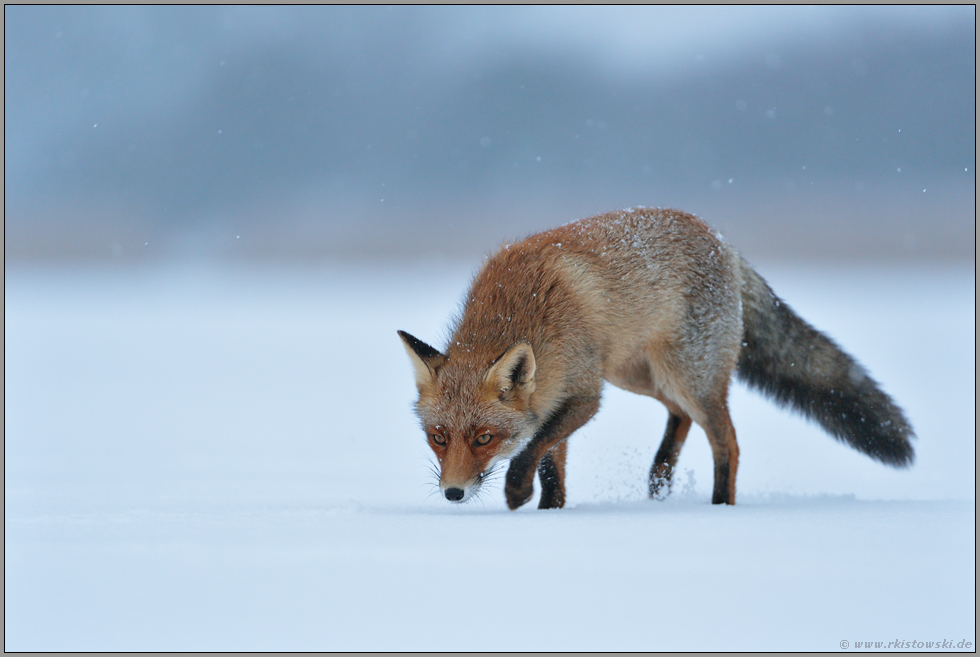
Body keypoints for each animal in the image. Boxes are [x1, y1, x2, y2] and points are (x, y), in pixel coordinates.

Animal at [398, 207, 914, 509]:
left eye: (484, 438)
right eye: (438, 437)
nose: (453, 493)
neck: (521, 309)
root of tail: (721, 239)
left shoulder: (583, 395)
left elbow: (535, 447)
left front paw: (517, 492)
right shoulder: (555, 395)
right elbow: (550, 462)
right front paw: (551, 512)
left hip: (689, 377)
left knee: (726, 441)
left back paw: (719, 506)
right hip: (639, 374)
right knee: (678, 417)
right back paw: (659, 482)